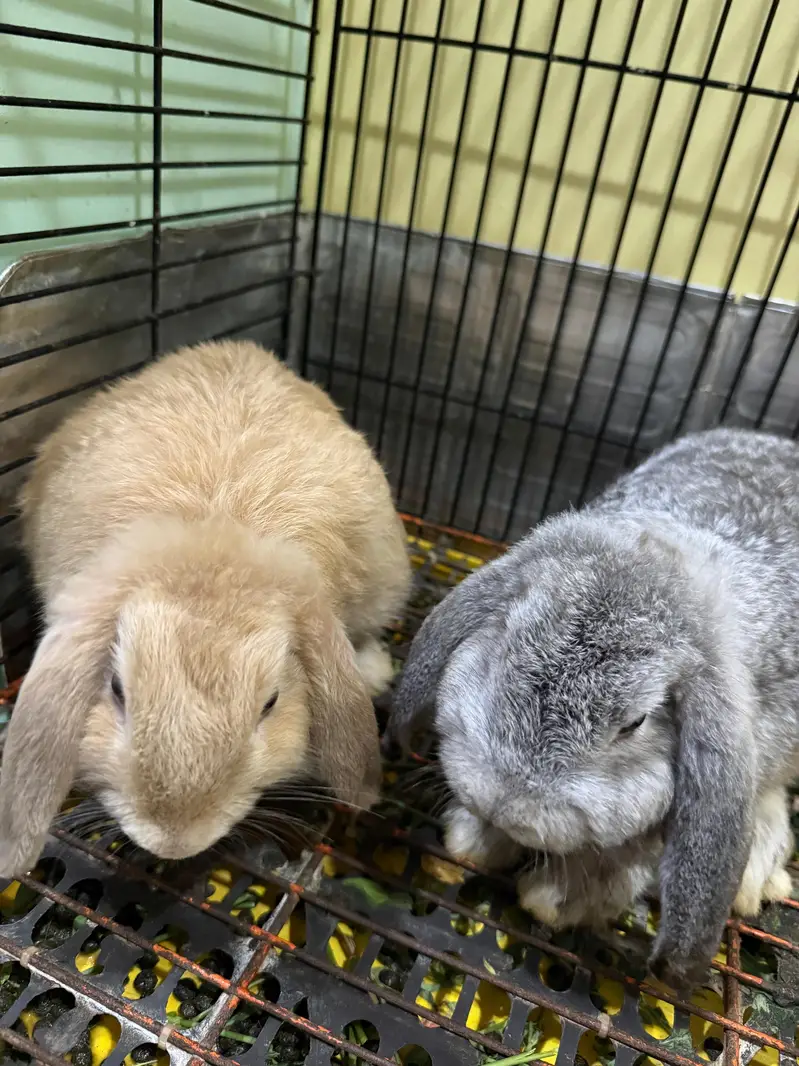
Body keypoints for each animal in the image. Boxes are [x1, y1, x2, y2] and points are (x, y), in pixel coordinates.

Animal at [387, 427, 799, 989]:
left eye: (636, 722)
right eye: (505, 639)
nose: (504, 802)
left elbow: (620, 864)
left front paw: (551, 900)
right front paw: (471, 841)